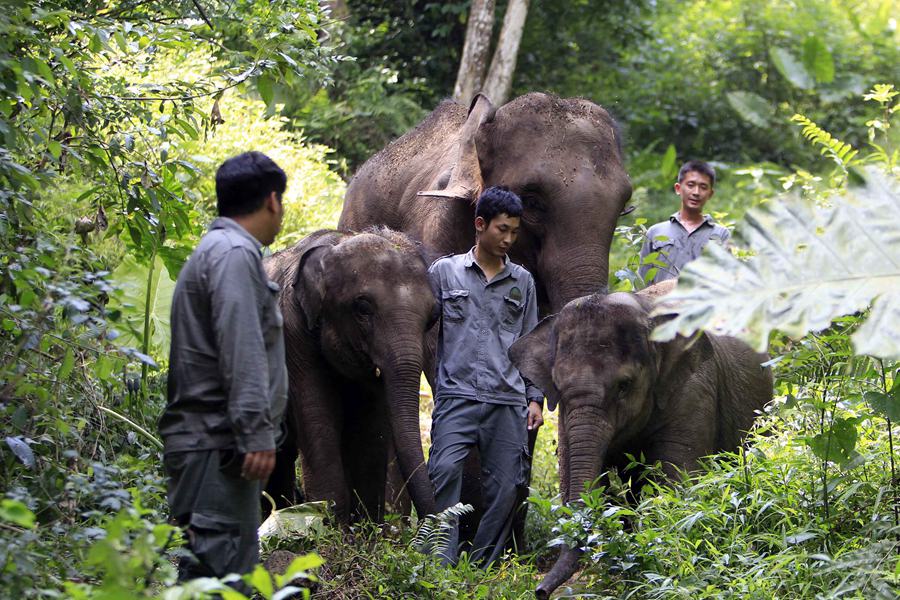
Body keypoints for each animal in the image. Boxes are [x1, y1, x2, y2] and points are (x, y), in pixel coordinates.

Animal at [262, 227, 438, 524]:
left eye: (433, 317)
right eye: (363, 308)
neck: (335, 243)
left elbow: (370, 428)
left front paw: (366, 527)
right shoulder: (293, 335)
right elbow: (318, 417)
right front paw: (328, 524)